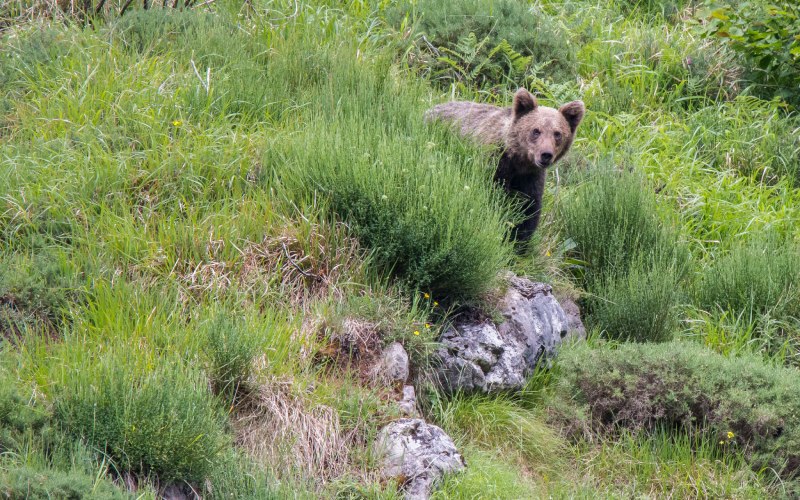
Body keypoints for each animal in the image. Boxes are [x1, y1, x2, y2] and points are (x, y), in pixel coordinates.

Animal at [426, 88, 585, 243]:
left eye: (557, 134)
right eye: (536, 130)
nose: (546, 154)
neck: (518, 161)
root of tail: (430, 109)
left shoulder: (531, 177)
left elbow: (529, 208)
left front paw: (518, 240)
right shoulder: (495, 164)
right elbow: (494, 197)